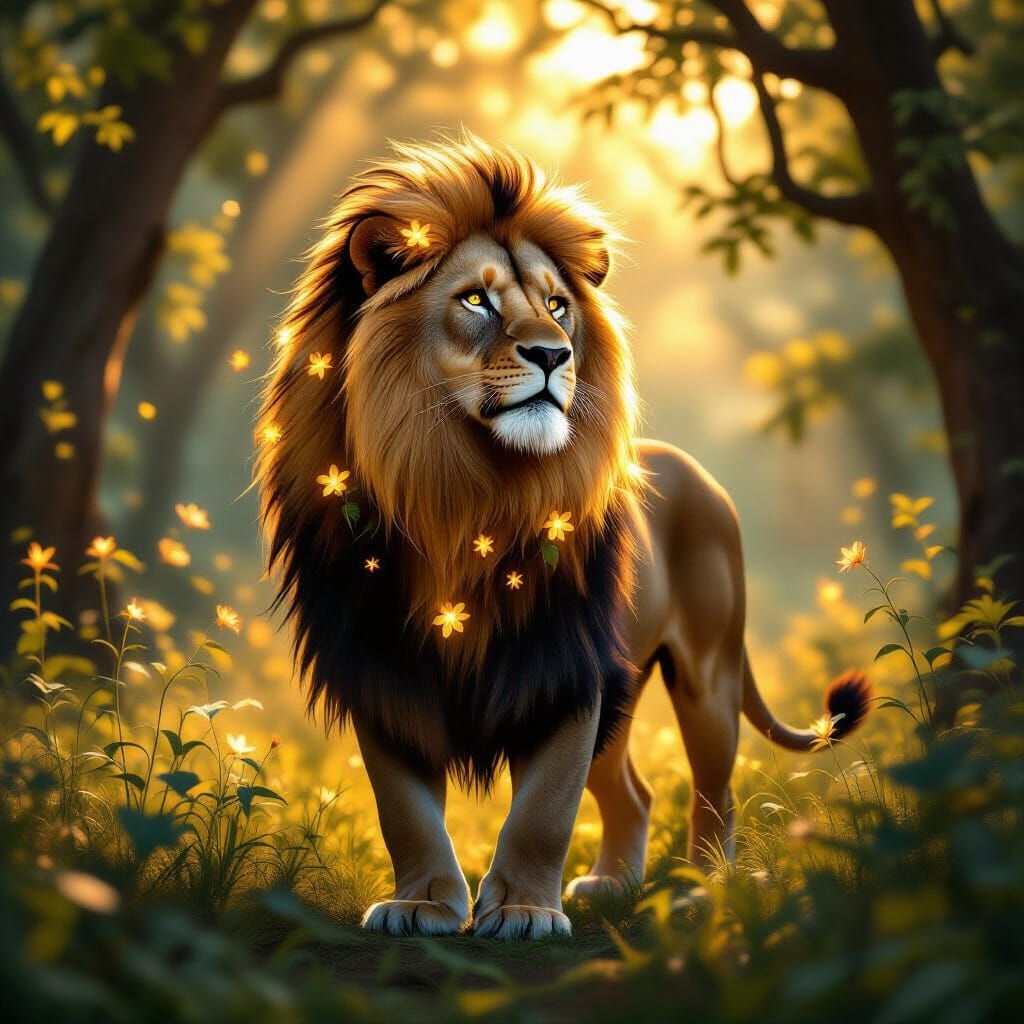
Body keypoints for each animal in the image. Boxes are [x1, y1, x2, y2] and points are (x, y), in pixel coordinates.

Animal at [256, 133, 870, 941]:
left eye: (557, 305)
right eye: (476, 299)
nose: (554, 354)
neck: (461, 493)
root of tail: (699, 473)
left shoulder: (565, 663)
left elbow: (545, 809)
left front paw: (523, 911)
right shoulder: (379, 663)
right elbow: (404, 808)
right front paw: (423, 905)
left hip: (705, 675)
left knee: (715, 790)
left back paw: (704, 892)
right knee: (635, 793)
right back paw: (613, 886)